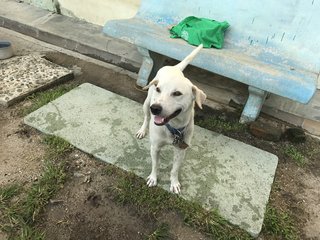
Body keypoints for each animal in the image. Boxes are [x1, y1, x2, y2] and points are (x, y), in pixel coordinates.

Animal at [134, 45, 205, 194]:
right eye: (158, 89)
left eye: (177, 93)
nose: (155, 108)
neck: (173, 127)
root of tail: (174, 68)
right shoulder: (155, 147)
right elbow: (155, 165)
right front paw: (153, 178)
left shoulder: (180, 150)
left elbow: (174, 169)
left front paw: (174, 183)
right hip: (146, 103)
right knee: (146, 117)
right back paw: (142, 130)